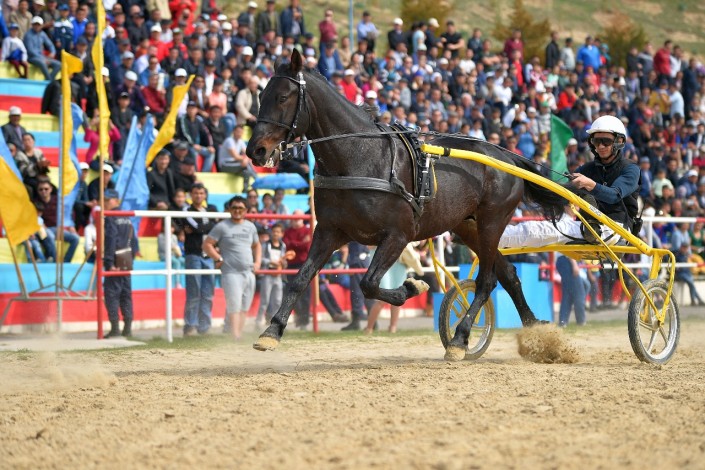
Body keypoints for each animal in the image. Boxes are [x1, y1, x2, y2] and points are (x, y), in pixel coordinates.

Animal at [246, 49, 569, 360]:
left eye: (282, 97)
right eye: (261, 96)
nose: (255, 150)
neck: (359, 157)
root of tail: (506, 157)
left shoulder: (398, 235)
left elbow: (368, 283)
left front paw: (413, 286)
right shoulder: (329, 231)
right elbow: (300, 279)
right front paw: (271, 331)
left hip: (492, 221)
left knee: (487, 281)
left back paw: (461, 337)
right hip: (468, 227)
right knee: (508, 274)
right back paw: (534, 331)